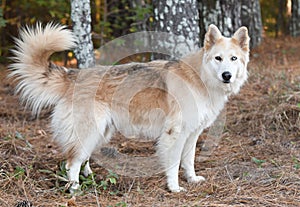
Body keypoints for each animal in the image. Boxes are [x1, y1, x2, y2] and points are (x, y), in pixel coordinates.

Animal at [9, 23, 250, 193]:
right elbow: (173, 164)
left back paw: (88, 177)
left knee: (82, 157)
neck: (200, 78)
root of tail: (74, 75)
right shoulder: (175, 134)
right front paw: (174, 188)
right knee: (71, 162)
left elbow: (188, 161)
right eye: (218, 58)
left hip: (101, 132)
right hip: (90, 130)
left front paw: (192, 179)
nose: (226, 76)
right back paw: (75, 188)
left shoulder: (192, 135)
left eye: (233, 58)